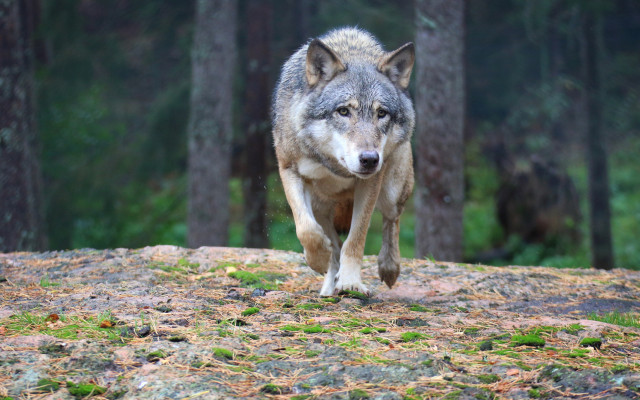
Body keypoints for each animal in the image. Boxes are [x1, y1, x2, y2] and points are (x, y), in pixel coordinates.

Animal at [272, 27, 415, 296]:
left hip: (392, 190)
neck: (335, 167)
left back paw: (389, 267)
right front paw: (318, 260)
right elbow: (306, 229)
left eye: (381, 113)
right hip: (321, 206)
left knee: (392, 220)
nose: (370, 159)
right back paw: (329, 288)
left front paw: (350, 282)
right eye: (343, 111)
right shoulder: (289, 171)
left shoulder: (371, 184)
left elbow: (355, 239)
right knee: (333, 244)